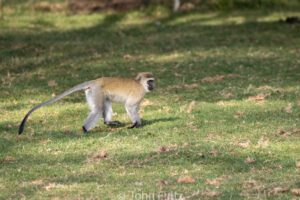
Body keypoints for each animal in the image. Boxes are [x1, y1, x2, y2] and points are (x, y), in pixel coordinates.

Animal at [18, 72, 155, 134]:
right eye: (150, 81)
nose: (153, 85)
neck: (140, 84)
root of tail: (94, 81)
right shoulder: (138, 93)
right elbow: (130, 107)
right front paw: (136, 124)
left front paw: (137, 123)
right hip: (96, 92)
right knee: (97, 110)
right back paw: (84, 129)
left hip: (94, 93)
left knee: (104, 104)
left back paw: (108, 122)